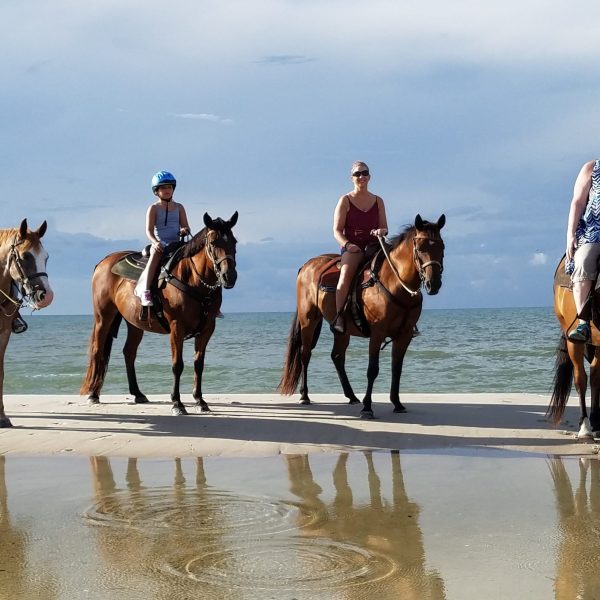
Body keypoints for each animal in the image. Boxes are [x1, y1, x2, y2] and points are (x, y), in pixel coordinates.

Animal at [80, 213, 239, 414]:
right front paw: (177, 403)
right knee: (98, 350)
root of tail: (104, 261)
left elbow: (199, 364)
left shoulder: (207, 328)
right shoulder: (177, 327)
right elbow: (177, 365)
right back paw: (93, 394)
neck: (193, 280)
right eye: (213, 242)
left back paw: (138, 393)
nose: (229, 276)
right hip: (104, 317)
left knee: (129, 353)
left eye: (234, 241)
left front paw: (200, 400)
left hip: (134, 323)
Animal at [278, 214, 446, 418]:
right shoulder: (377, 333)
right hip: (308, 321)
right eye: (420, 248)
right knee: (305, 354)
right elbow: (372, 370)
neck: (394, 283)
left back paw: (351, 395)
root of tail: (306, 266)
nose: (433, 283)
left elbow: (397, 369)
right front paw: (367, 407)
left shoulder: (404, 335)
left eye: (442, 247)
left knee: (337, 356)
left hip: (342, 330)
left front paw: (397, 403)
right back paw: (305, 395)